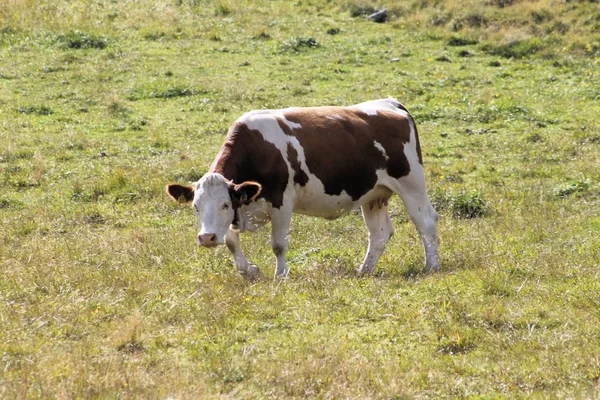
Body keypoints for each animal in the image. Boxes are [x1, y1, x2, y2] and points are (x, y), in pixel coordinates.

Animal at [166, 97, 438, 278]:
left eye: (224, 204)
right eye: (196, 207)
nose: (207, 238)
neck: (257, 148)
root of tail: (391, 103)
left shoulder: (281, 202)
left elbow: (278, 244)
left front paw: (281, 276)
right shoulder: (241, 203)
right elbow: (232, 241)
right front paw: (249, 269)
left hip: (411, 183)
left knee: (426, 222)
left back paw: (431, 266)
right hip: (374, 195)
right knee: (379, 233)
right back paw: (364, 270)